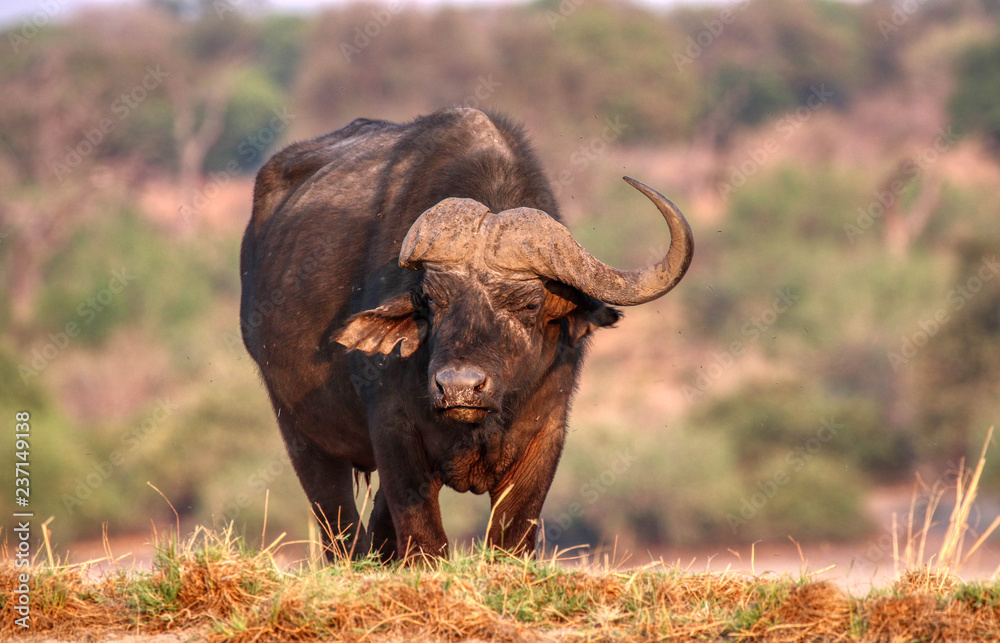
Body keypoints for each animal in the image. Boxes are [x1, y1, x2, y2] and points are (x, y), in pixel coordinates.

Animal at [240, 108, 693, 561]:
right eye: (430, 299)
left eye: (530, 304)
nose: (458, 387)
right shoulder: (393, 434)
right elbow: (425, 539)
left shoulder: (545, 437)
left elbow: (511, 537)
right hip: (301, 432)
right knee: (340, 527)